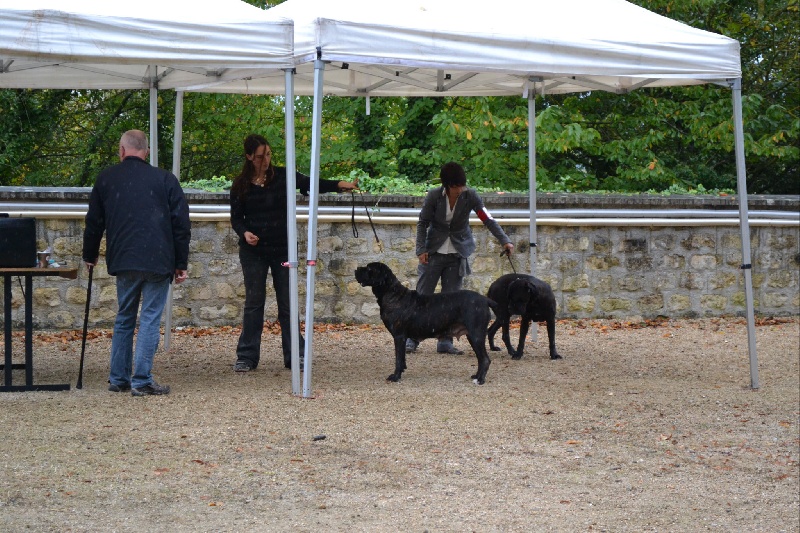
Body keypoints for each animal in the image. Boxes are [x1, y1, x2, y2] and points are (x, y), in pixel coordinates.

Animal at [354, 261, 498, 384]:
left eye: (369, 268)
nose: (356, 269)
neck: (392, 293)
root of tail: (484, 299)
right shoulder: (401, 338)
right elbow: (402, 358)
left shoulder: (399, 336)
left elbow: (398, 359)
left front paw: (395, 376)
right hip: (472, 336)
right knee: (480, 358)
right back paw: (476, 376)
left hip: (476, 335)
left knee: (485, 359)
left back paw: (480, 380)